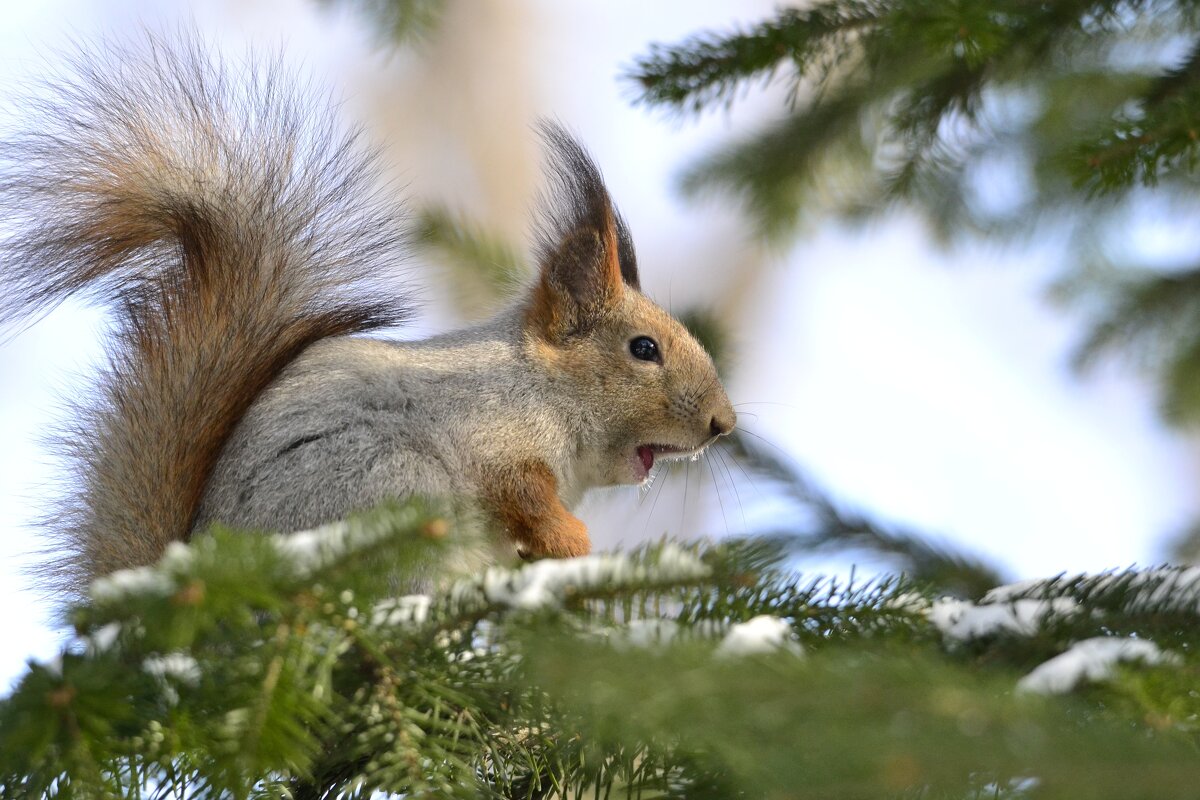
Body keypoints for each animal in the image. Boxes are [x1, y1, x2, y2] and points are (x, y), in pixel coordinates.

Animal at [0, 37, 734, 599]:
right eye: (643, 349)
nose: (723, 424)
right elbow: (519, 492)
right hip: (391, 487)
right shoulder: (489, 431)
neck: (546, 390)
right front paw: (573, 542)